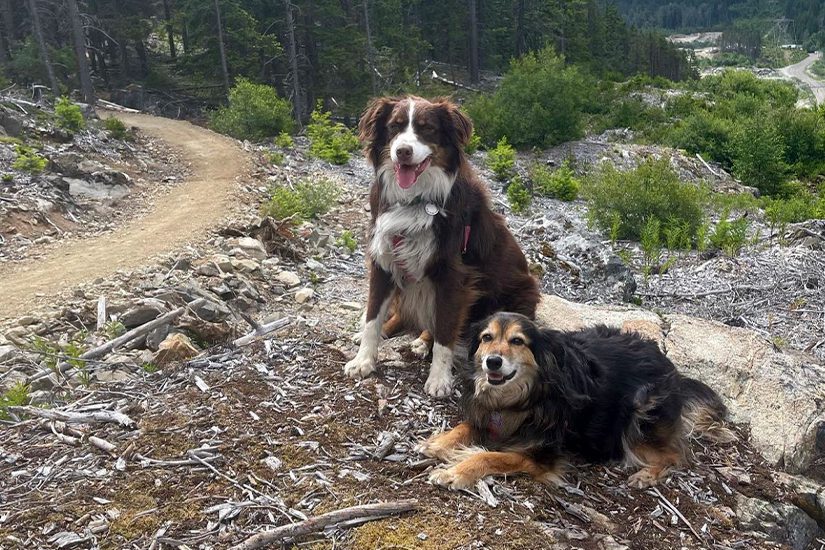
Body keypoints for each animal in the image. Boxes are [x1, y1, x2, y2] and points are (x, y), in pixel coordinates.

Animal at [344, 95, 536, 396]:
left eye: (427, 129)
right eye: (395, 126)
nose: (402, 152)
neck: (415, 200)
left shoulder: (452, 275)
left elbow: (446, 332)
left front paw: (439, 379)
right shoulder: (383, 261)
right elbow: (373, 317)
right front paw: (363, 360)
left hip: (519, 294)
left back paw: (424, 342)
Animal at [418, 312, 732, 490]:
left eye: (517, 341)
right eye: (486, 337)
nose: (492, 362)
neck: (525, 396)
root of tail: (670, 365)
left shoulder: (541, 456)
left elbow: (488, 455)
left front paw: (454, 472)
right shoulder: (491, 417)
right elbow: (466, 427)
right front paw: (437, 442)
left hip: (640, 415)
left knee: (678, 456)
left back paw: (647, 475)